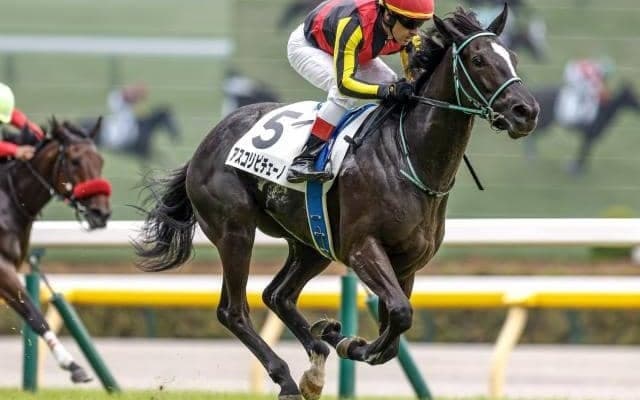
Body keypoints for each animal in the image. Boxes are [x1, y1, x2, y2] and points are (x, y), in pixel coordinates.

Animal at [0, 118, 112, 383]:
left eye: (100, 160)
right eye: (75, 161)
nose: (101, 213)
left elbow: (29, 313)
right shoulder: (2, 268)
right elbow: (34, 314)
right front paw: (73, 365)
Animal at [135, 6, 538, 400]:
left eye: (513, 57)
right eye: (478, 59)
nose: (526, 111)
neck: (409, 156)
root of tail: (205, 145)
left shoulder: (407, 263)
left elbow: (395, 329)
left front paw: (338, 337)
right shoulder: (362, 248)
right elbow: (400, 313)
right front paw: (345, 341)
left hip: (313, 243)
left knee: (277, 295)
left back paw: (315, 365)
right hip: (235, 232)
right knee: (233, 310)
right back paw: (286, 379)